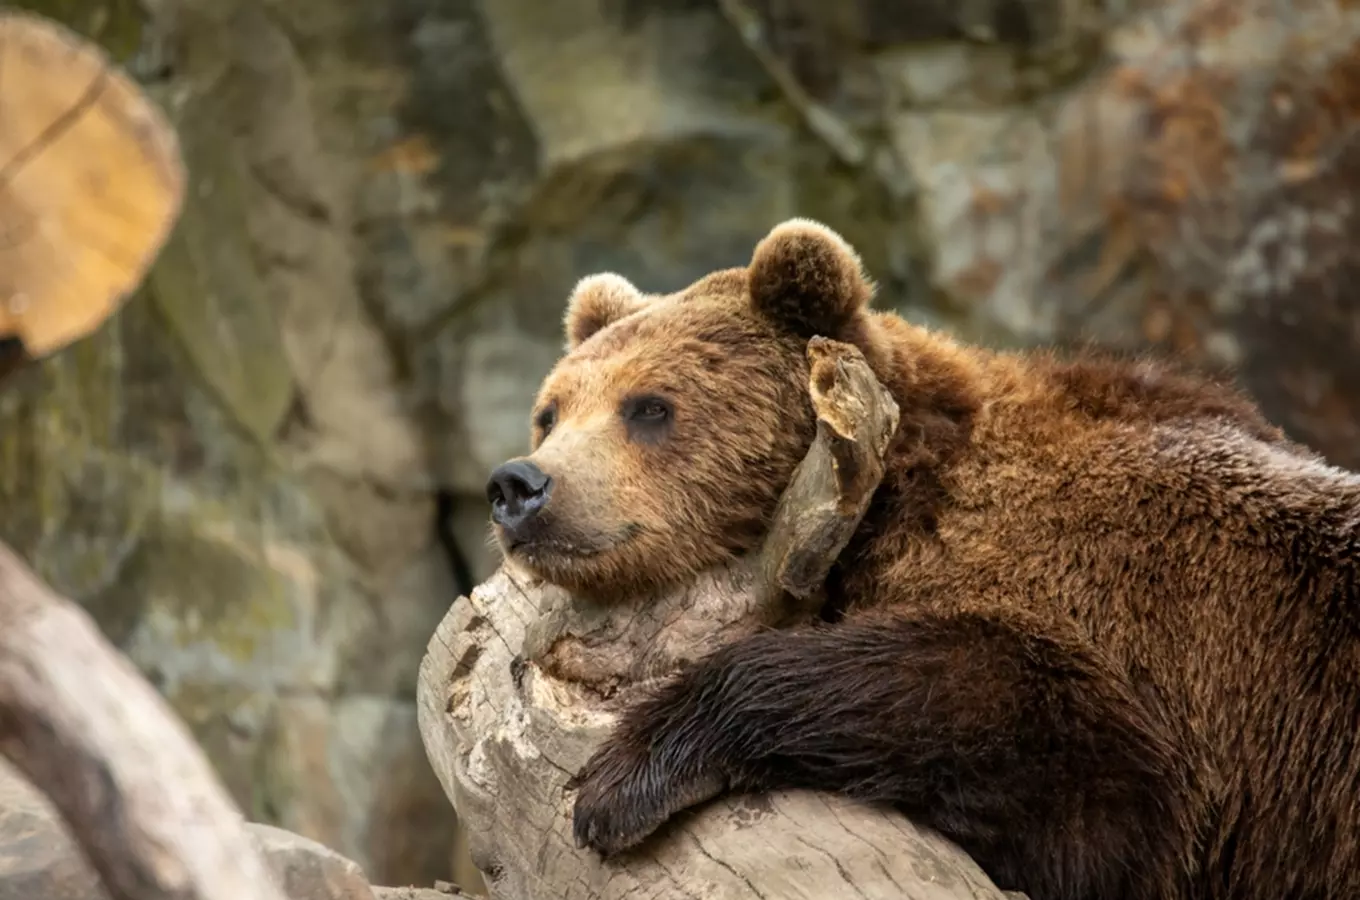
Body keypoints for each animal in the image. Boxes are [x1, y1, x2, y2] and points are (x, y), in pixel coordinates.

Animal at [481, 217, 1360, 900]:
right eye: (550, 411)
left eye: (650, 407)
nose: (519, 485)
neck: (886, 497)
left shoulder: (1143, 621)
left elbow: (1074, 767)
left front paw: (624, 779)